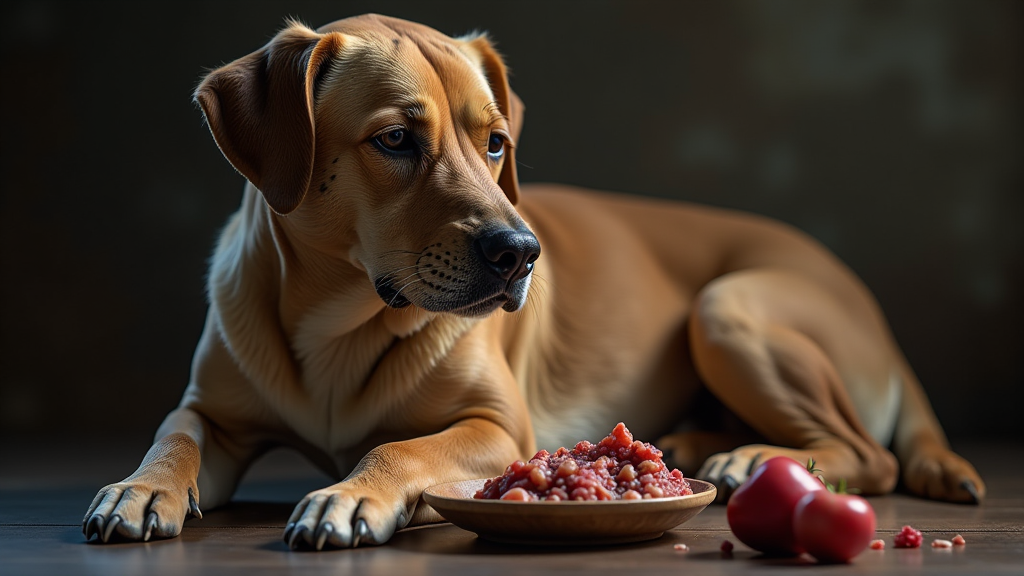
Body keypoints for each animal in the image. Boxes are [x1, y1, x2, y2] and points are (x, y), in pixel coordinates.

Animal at [81, 13, 983, 545]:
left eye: (495, 143)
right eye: (396, 139)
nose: (520, 252)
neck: (335, 318)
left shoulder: (497, 426)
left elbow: (400, 446)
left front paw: (353, 493)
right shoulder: (212, 410)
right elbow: (174, 437)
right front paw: (138, 489)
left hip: (728, 306)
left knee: (871, 454)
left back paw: (747, 456)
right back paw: (701, 443)